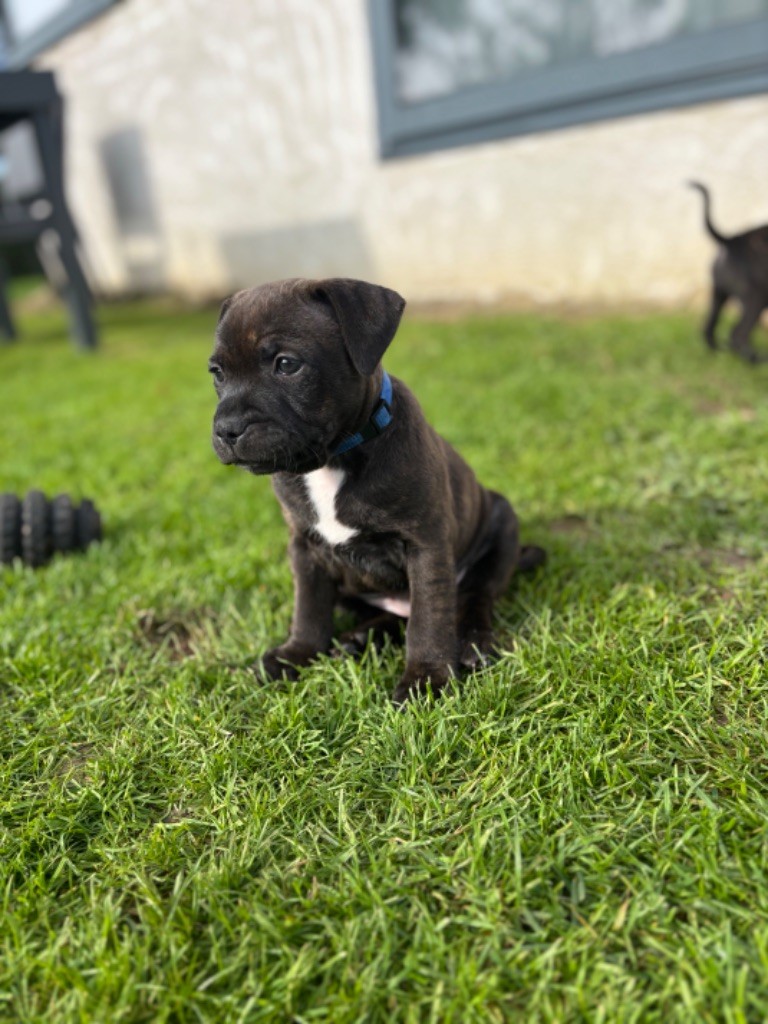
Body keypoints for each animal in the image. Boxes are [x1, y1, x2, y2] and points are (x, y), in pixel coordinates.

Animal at [210, 280, 544, 704]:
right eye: (217, 373)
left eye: (286, 364)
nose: (227, 429)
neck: (333, 459)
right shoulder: (304, 548)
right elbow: (309, 607)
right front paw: (296, 654)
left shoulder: (425, 546)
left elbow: (429, 619)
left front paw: (426, 679)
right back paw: (359, 638)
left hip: (501, 525)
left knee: (472, 597)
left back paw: (471, 642)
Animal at [692, 181, 768, 364]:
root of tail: (732, 241)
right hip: (757, 297)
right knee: (738, 332)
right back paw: (756, 360)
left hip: (719, 294)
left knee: (709, 329)